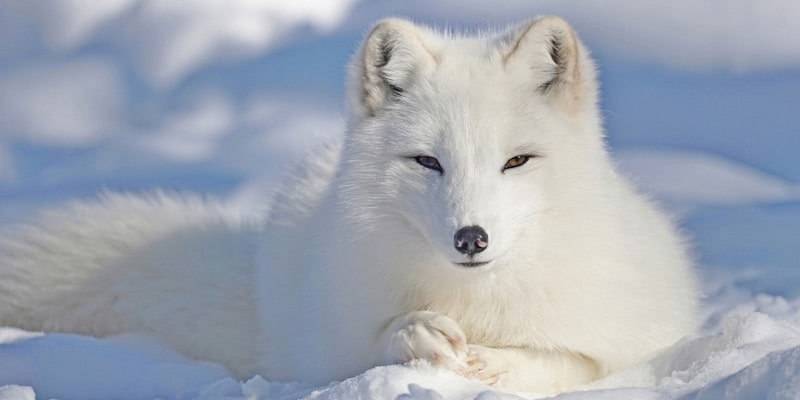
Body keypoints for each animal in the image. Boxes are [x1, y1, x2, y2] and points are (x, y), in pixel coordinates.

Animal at [0, 17, 692, 396]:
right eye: (428, 162)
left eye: (517, 161)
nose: (471, 238)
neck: (475, 302)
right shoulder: (336, 343)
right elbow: (375, 340)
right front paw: (418, 334)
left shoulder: (633, 339)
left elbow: (569, 361)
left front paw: (497, 362)